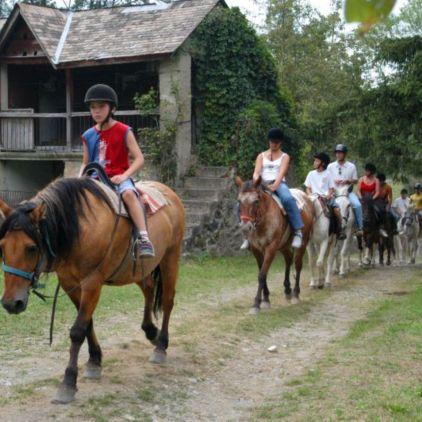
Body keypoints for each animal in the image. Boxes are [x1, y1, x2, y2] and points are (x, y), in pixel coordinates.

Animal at [0, 176, 185, 404]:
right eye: (2, 247)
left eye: (31, 248)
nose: (11, 303)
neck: (79, 229)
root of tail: (169, 193)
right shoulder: (70, 283)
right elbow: (87, 323)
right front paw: (95, 361)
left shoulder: (92, 283)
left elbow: (78, 330)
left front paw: (68, 382)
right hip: (139, 269)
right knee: (149, 289)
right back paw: (151, 331)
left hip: (171, 257)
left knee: (167, 301)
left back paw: (161, 346)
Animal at [237, 176, 314, 314]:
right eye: (239, 201)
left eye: (256, 201)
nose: (245, 227)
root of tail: (305, 197)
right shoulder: (256, 250)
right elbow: (262, 272)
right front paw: (266, 299)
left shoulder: (271, 248)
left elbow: (262, 275)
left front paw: (256, 304)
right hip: (283, 245)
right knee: (288, 259)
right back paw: (287, 290)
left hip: (303, 243)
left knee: (298, 265)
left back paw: (295, 294)